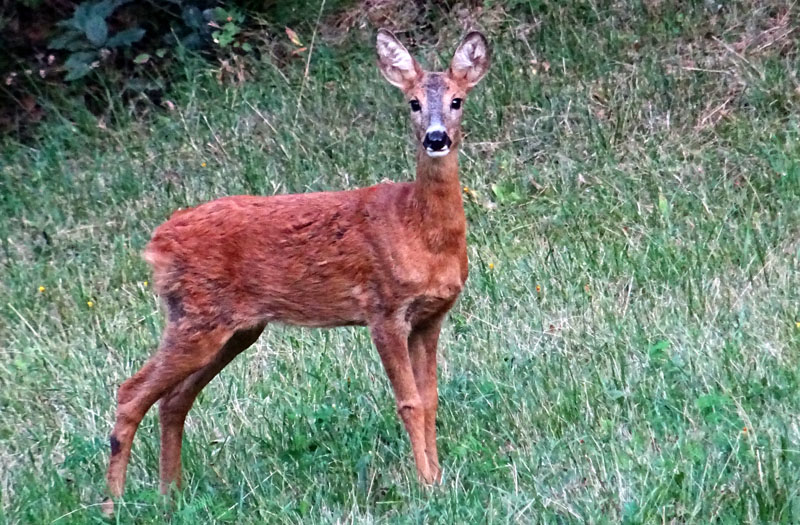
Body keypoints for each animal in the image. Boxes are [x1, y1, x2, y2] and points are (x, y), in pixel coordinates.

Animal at [103, 28, 490, 512]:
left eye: (457, 100)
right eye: (413, 103)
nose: (436, 139)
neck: (419, 230)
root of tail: (157, 242)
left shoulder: (431, 316)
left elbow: (431, 398)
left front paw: (438, 478)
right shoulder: (382, 309)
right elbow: (409, 402)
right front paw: (425, 484)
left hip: (232, 329)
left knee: (173, 400)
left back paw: (170, 494)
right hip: (196, 317)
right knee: (130, 393)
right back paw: (114, 504)